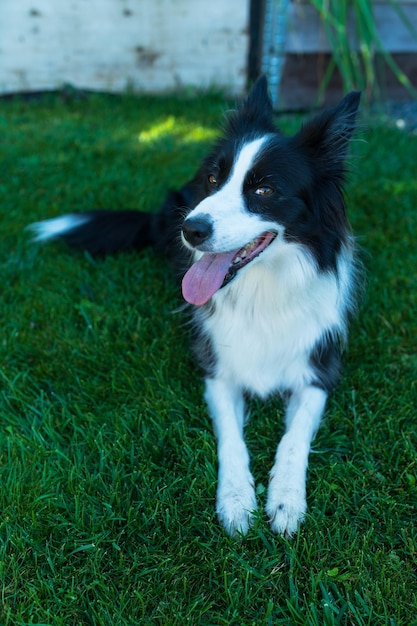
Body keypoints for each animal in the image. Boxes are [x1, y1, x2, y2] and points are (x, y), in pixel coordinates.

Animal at [30, 77, 360, 536]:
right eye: (214, 178)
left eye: (265, 190)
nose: (191, 230)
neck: (264, 291)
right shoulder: (216, 367)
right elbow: (232, 439)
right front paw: (237, 501)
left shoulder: (318, 368)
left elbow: (294, 438)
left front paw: (286, 502)